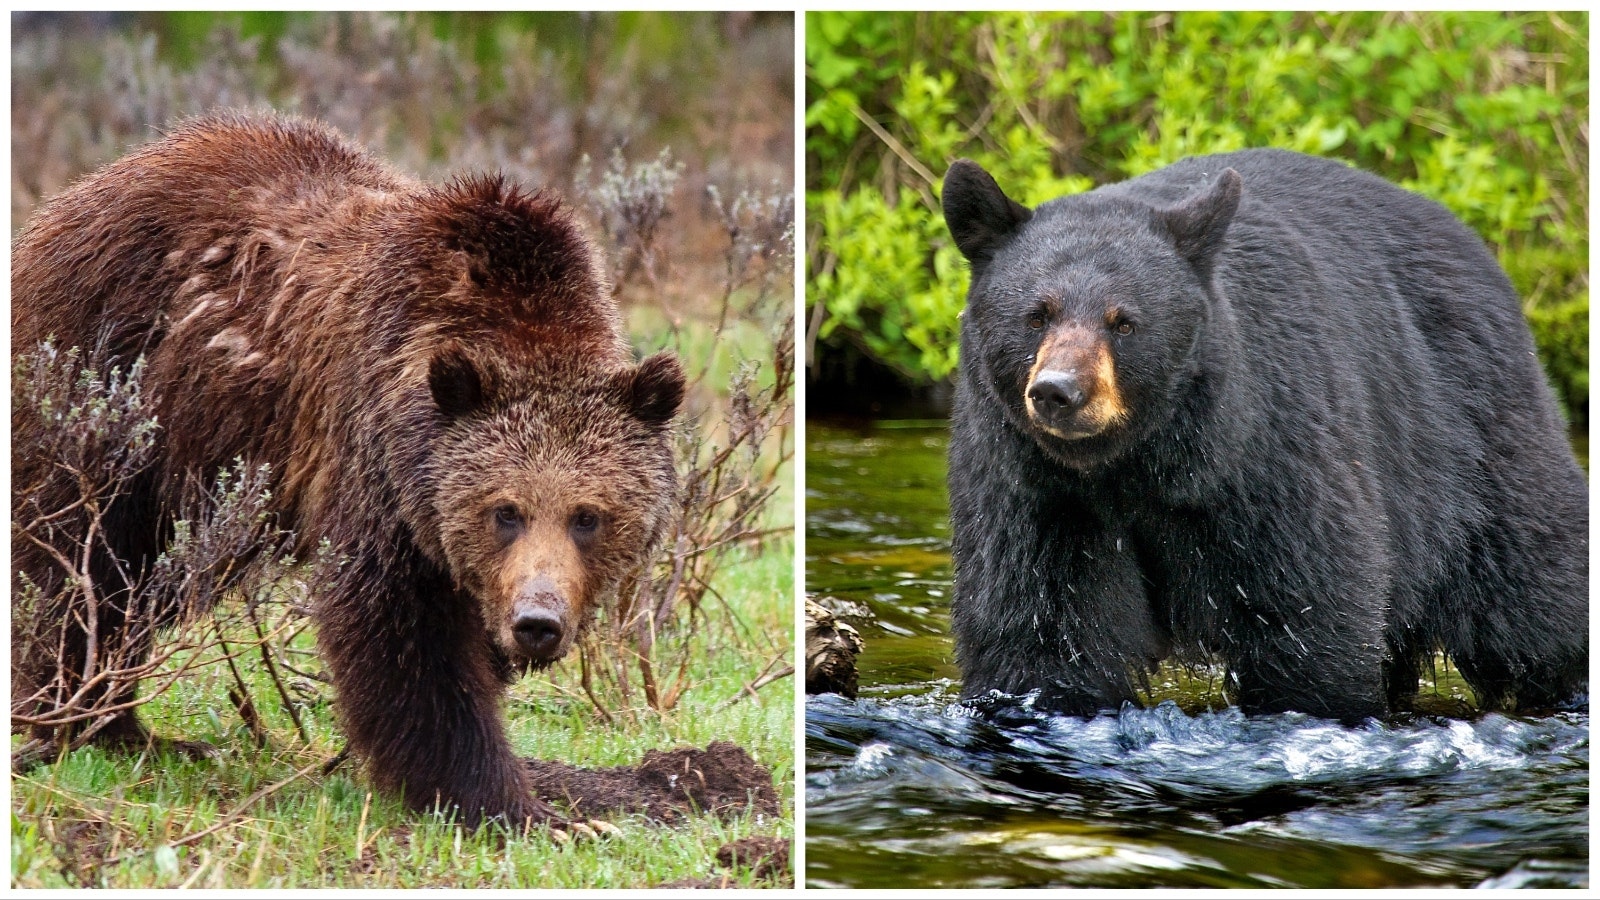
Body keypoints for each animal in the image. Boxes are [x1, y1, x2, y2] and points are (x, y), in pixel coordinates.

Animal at [11, 111, 686, 828]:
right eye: (505, 511)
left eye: (588, 517)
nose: (537, 621)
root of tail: (69, 200)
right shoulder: (376, 460)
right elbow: (401, 640)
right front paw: (510, 804)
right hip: (117, 394)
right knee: (85, 568)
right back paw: (92, 721)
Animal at [940, 149, 1588, 724]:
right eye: (1036, 314)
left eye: (1123, 322)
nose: (1058, 391)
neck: (1138, 466)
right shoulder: (1036, 492)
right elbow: (1042, 628)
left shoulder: (1269, 453)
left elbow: (1307, 610)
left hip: (1474, 442)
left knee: (1537, 586)